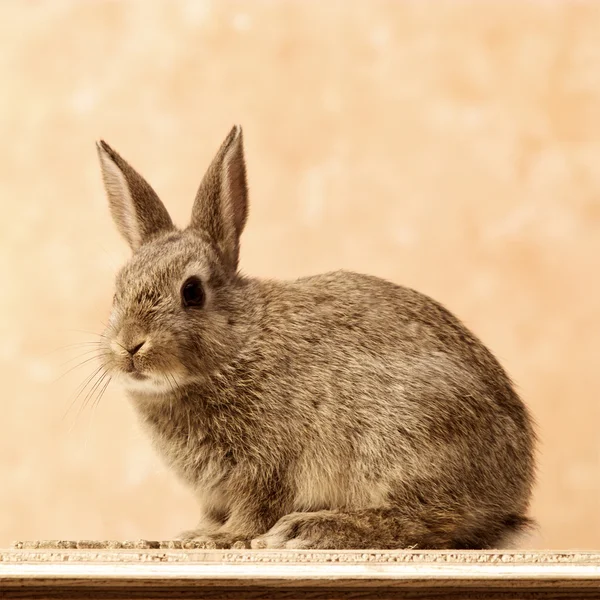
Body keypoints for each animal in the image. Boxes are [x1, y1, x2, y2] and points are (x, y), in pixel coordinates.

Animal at [96, 125, 536, 548]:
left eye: (192, 292)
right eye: (117, 291)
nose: (129, 345)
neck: (241, 344)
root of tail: (512, 492)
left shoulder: (268, 465)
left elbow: (255, 508)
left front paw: (224, 537)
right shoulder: (217, 491)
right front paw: (195, 535)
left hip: (405, 441)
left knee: (424, 522)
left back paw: (312, 529)